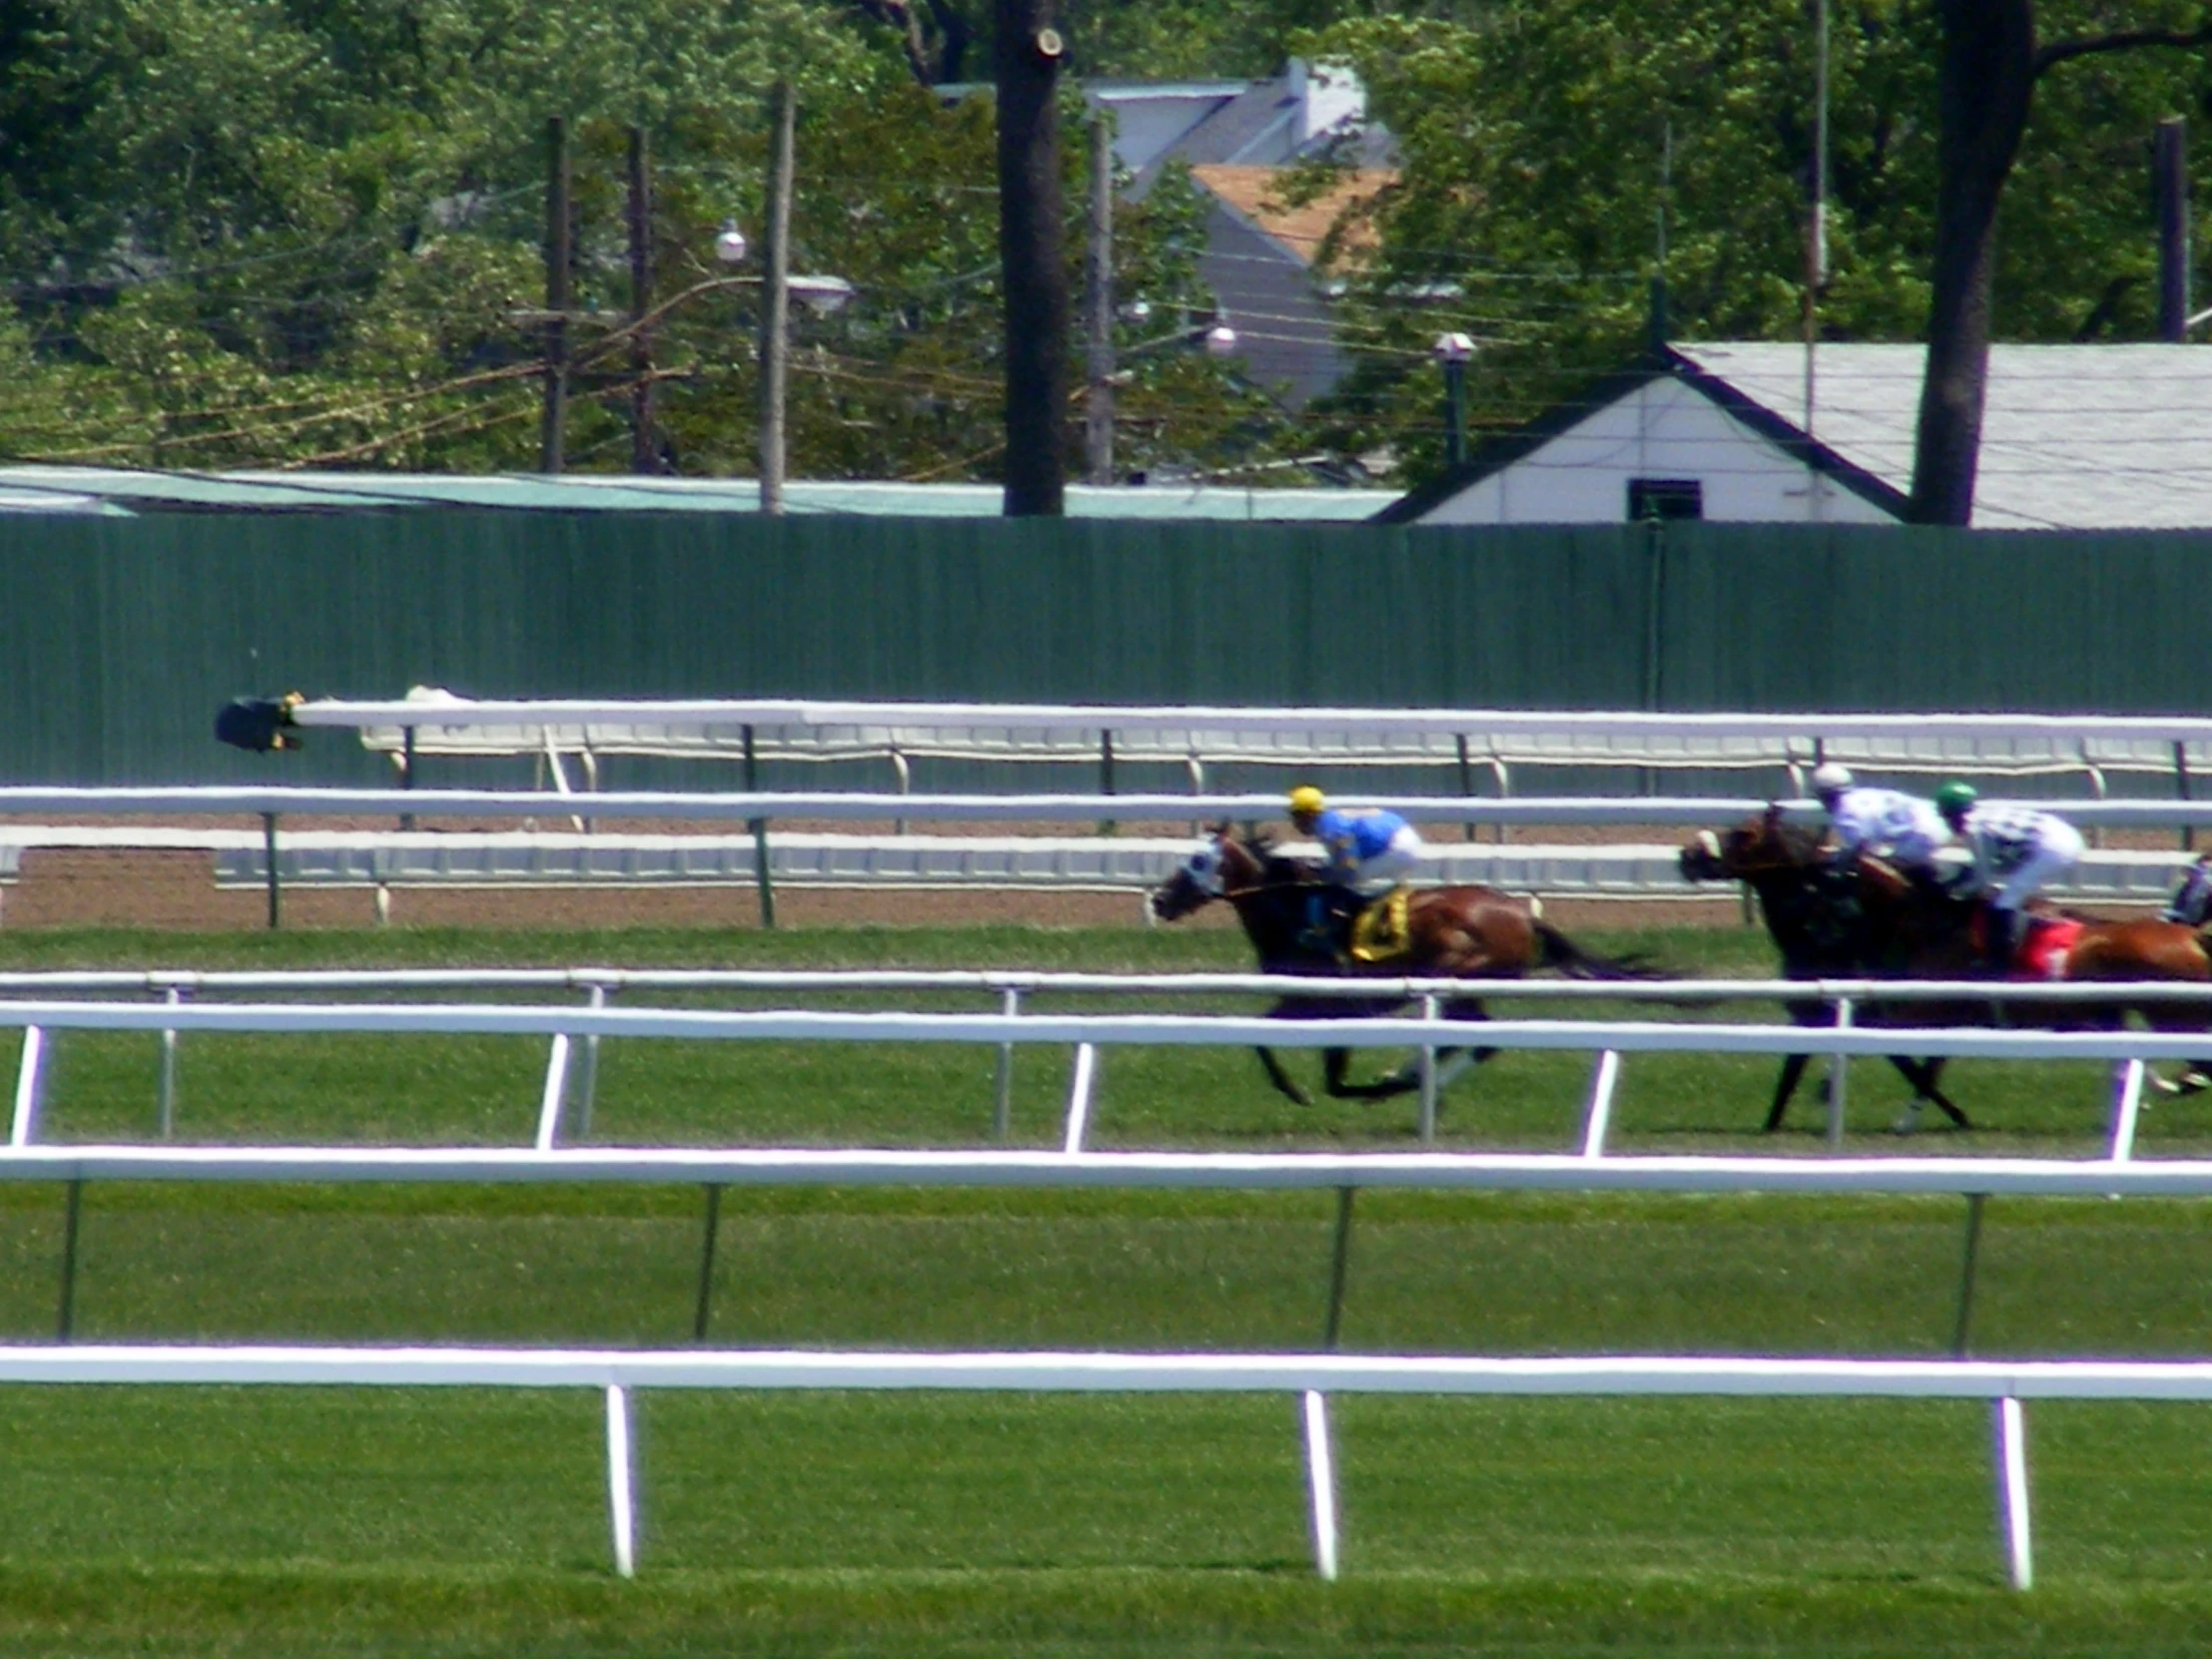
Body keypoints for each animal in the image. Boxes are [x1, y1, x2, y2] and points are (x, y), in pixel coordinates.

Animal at [1150, 827, 1654, 1110]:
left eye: (1199, 860)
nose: (1160, 899)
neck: (1292, 912)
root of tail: (1522, 914)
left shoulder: (1323, 1003)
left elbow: (1304, 1064)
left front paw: (1318, 1092)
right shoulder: (1319, 1006)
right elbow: (1275, 1047)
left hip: (1457, 974)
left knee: (1479, 1039)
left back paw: (1408, 1079)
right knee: (1468, 1039)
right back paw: (1411, 1075)